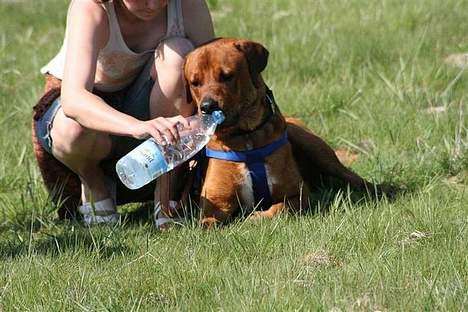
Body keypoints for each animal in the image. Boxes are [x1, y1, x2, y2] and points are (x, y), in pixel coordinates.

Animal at [182, 37, 380, 225]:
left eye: (226, 76)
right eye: (195, 83)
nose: (207, 106)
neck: (246, 136)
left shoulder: (298, 194)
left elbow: (279, 209)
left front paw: (257, 217)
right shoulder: (215, 203)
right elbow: (207, 222)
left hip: (313, 146)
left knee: (351, 176)